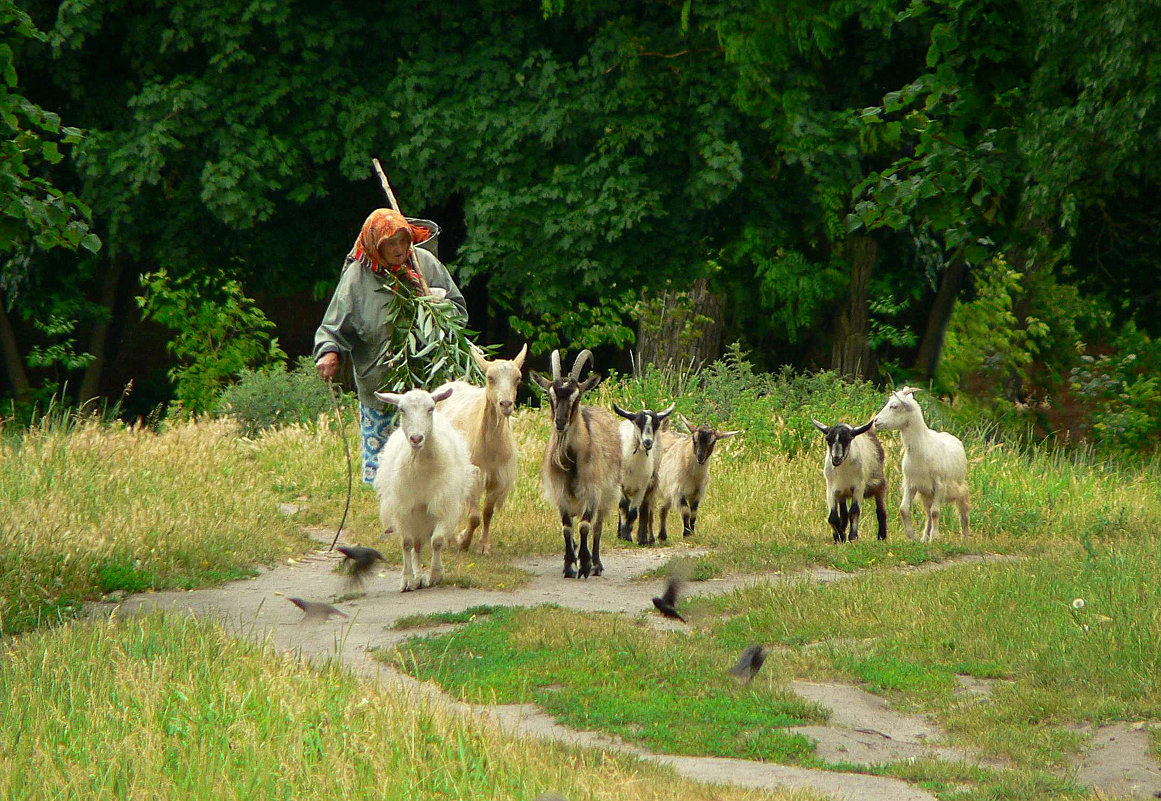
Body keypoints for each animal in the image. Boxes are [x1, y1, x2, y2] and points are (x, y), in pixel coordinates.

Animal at [373, 383, 478, 589]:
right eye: (401, 410)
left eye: (430, 408)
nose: (416, 438)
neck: (420, 462)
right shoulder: (402, 507)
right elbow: (406, 543)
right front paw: (407, 579)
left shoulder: (444, 503)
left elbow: (436, 541)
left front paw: (436, 574)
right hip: (417, 512)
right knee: (416, 544)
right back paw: (417, 576)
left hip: (424, 512)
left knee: (420, 543)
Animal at [434, 343, 529, 554]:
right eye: (490, 377)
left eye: (517, 378)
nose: (506, 404)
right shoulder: (475, 474)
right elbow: (474, 517)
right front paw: (463, 541)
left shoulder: (498, 477)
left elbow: (487, 512)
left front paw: (484, 546)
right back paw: (448, 537)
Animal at [531, 348, 626, 573]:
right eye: (550, 395)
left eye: (577, 395)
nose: (560, 422)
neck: (572, 460)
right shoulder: (560, 493)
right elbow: (567, 527)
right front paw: (569, 565)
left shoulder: (592, 491)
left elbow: (585, 526)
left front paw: (585, 564)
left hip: (608, 493)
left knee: (597, 527)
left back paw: (597, 564)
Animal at [613, 401, 678, 545]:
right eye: (638, 422)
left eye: (656, 424)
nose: (647, 442)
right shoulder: (621, 486)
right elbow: (623, 507)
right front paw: (624, 535)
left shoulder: (642, 488)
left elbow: (634, 512)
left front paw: (629, 536)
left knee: (644, 509)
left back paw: (643, 538)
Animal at [873, 385, 965, 538]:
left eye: (894, 406)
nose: (875, 421)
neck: (923, 448)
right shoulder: (910, 483)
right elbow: (904, 509)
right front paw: (912, 535)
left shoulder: (940, 485)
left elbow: (936, 512)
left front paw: (934, 537)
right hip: (927, 493)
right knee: (928, 512)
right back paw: (924, 538)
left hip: (957, 487)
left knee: (960, 512)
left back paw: (964, 537)